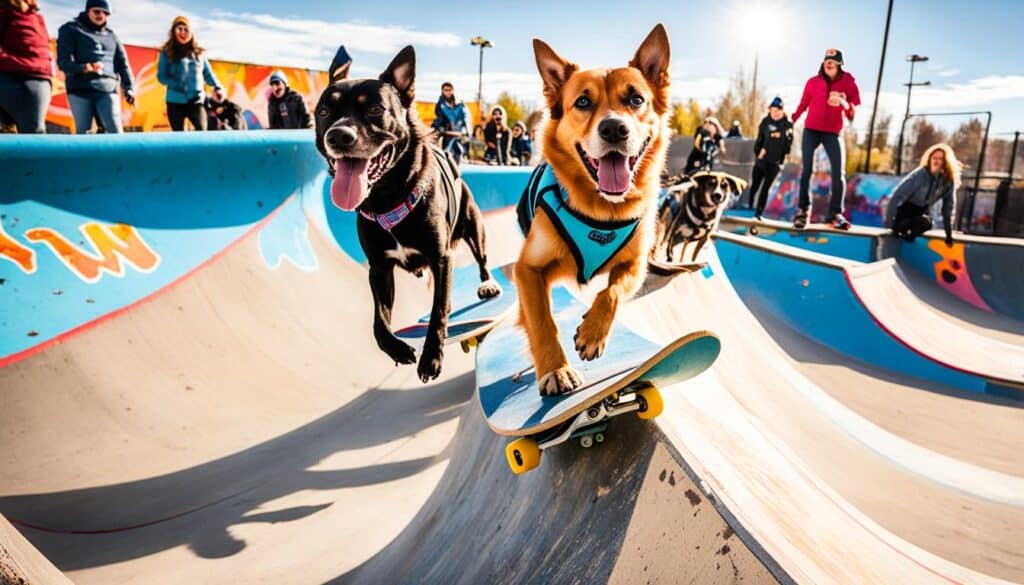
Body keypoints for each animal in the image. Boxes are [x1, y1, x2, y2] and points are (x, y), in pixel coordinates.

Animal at [313, 46, 501, 385]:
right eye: (323, 113)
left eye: (376, 109)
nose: (338, 136)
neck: (387, 198)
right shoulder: (379, 268)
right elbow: (379, 322)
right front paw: (398, 349)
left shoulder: (441, 258)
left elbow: (439, 310)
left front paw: (430, 358)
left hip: (473, 226)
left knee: (481, 258)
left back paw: (488, 283)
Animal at [512, 25, 671, 395]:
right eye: (582, 102)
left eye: (636, 100)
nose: (614, 128)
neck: (602, 211)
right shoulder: (528, 269)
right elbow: (541, 320)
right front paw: (555, 369)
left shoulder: (634, 265)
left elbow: (611, 293)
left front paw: (593, 333)